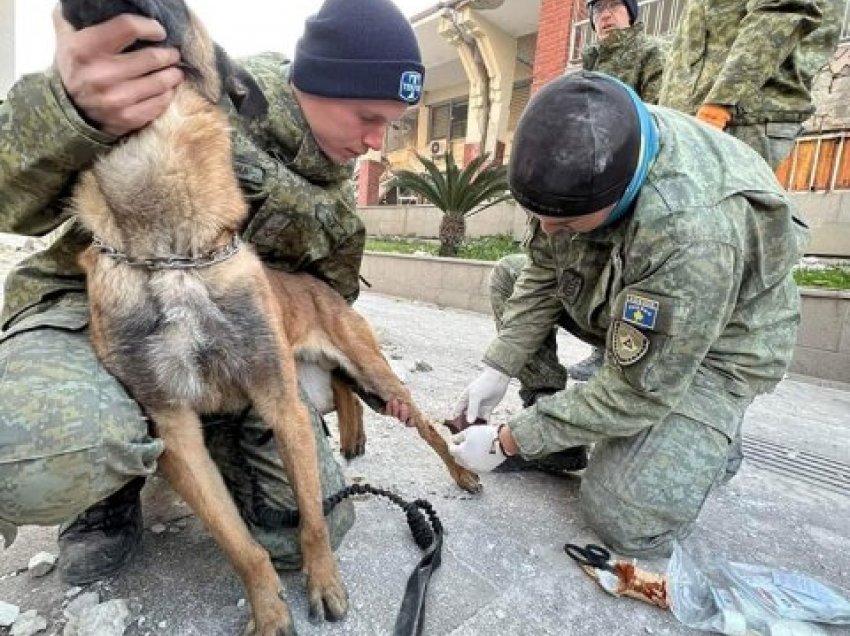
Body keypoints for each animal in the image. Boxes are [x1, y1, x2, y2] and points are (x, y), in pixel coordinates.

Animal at [61, 2, 476, 632]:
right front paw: (267, 606)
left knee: (422, 423)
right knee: (343, 393)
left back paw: (461, 473)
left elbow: (313, 517)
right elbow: (239, 541)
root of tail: (321, 290)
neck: (169, 250)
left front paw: (323, 582)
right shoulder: (176, 434)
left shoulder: (283, 408)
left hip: (373, 376)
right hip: (321, 388)